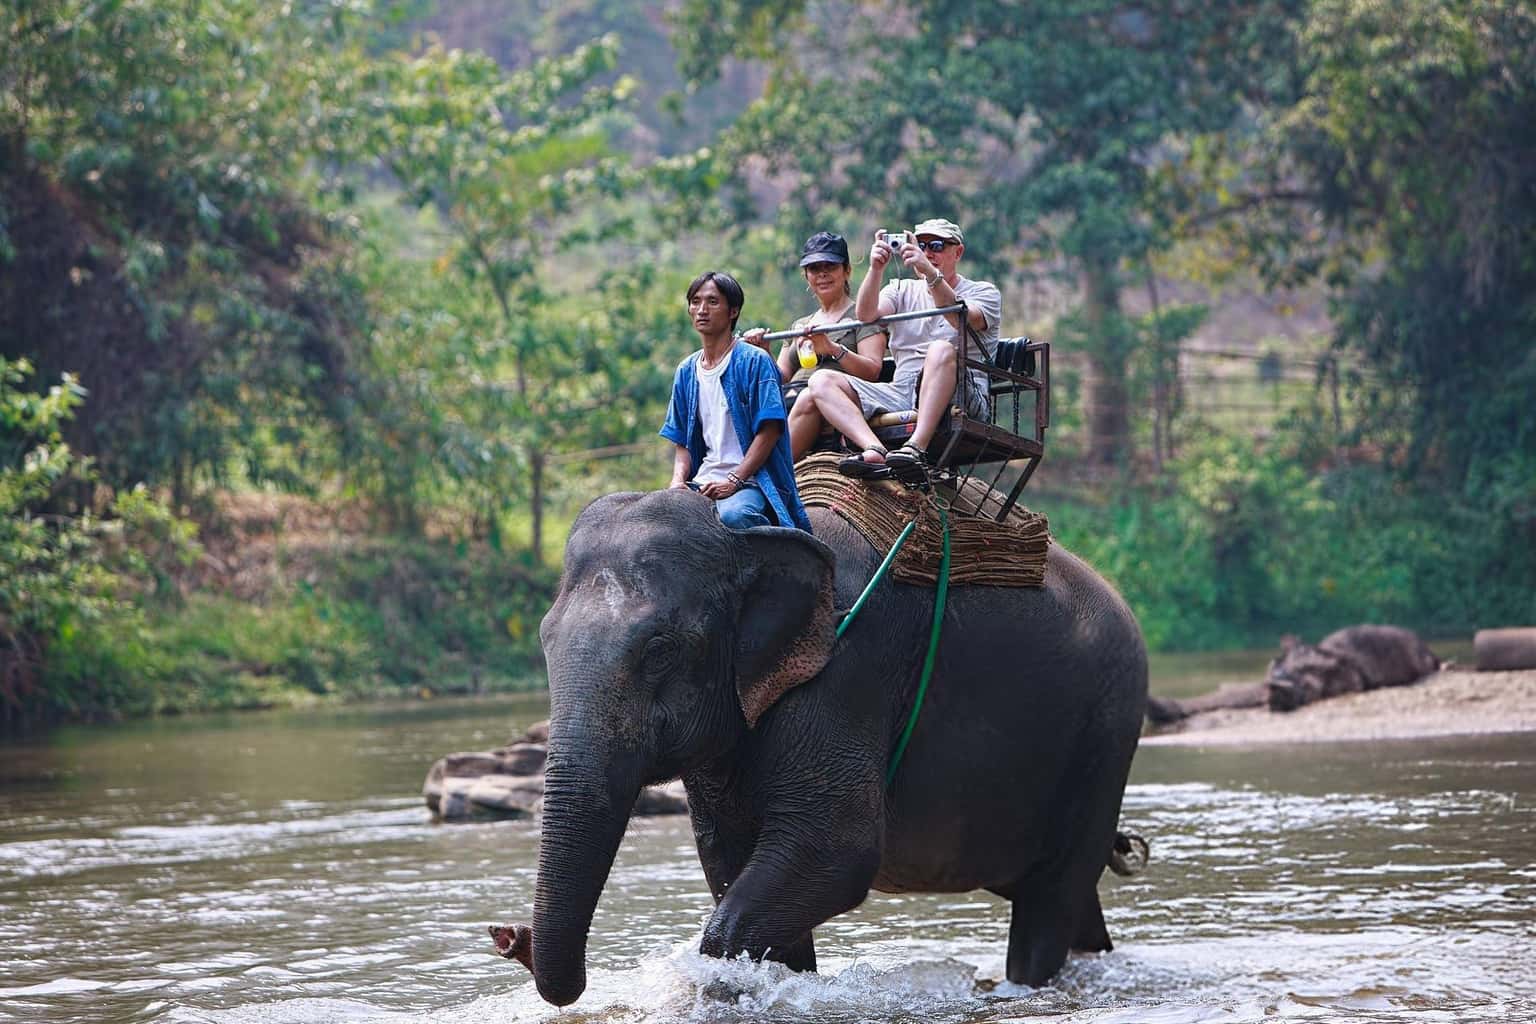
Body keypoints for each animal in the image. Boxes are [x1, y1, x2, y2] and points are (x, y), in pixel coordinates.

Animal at [497, 488, 1148, 1007]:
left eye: (659, 648)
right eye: (545, 640)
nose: (509, 937)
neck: (745, 535)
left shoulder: (846, 668)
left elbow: (835, 848)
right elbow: (729, 856)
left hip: (1106, 734)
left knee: (1052, 897)